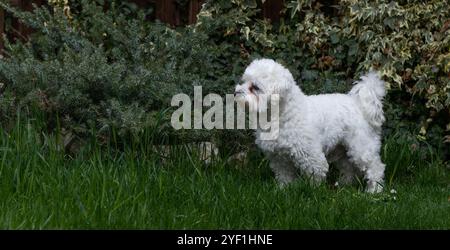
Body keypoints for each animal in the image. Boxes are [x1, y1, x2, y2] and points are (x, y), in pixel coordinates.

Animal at [236, 59, 386, 193]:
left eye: (255, 87)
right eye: (243, 81)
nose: (237, 92)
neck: (281, 115)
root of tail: (358, 103)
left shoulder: (311, 155)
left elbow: (316, 175)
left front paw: (313, 191)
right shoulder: (278, 158)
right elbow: (284, 175)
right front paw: (283, 190)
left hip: (361, 146)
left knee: (375, 167)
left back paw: (374, 190)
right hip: (340, 149)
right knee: (349, 167)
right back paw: (345, 185)